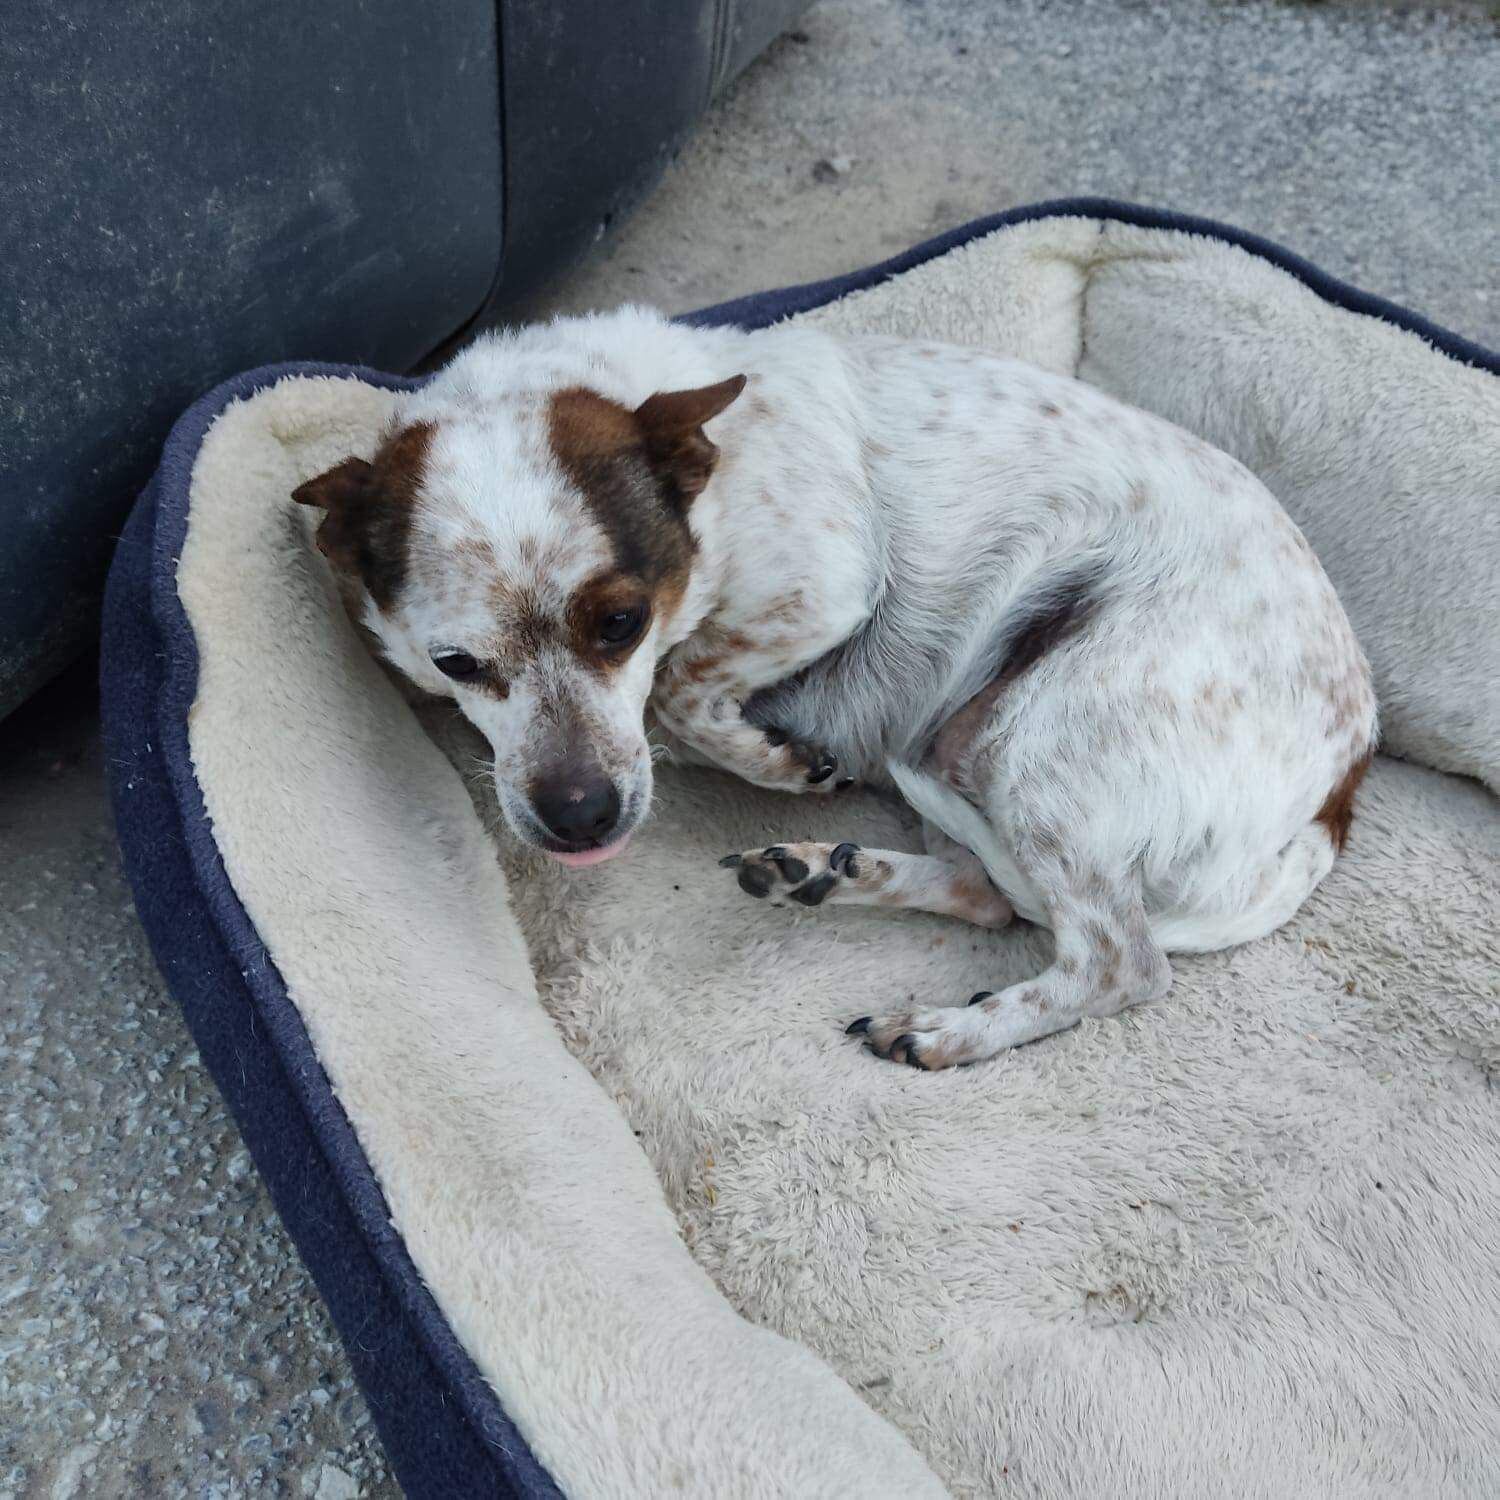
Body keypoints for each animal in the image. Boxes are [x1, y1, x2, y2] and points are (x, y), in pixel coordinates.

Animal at [295, 304, 1380, 1074]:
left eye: (620, 622)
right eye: (455, 664)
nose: (580, 819)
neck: (712, 482)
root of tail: (1338, 796)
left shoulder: (823, 589)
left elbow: (679, 690)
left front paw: (771, 757)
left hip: (1038, 749)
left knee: (1116, 962)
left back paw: (947, 1029)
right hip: (964, 742)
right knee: (995, 896)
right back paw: (830, 873)